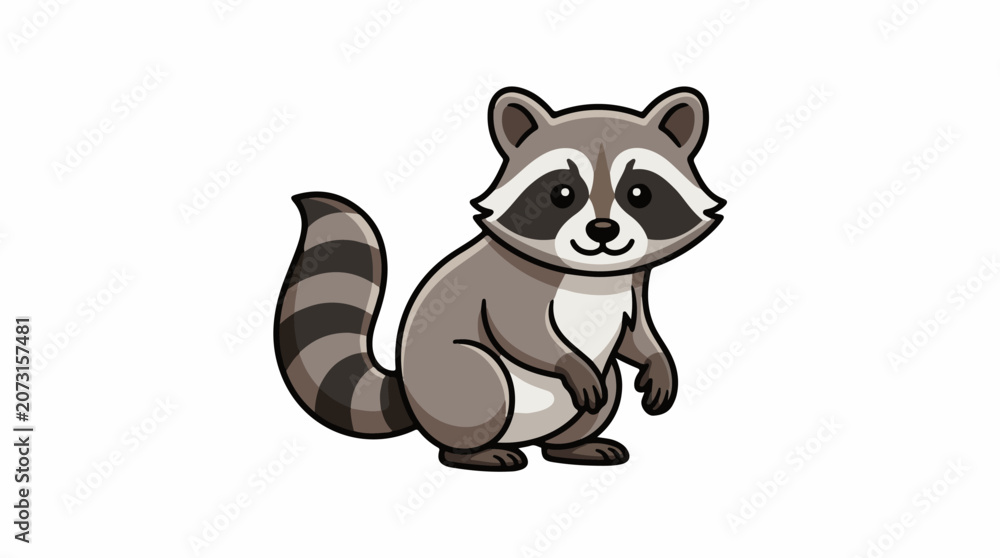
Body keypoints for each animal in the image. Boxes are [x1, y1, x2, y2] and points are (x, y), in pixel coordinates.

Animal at [274, 87, 724, 471]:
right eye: (562, 194)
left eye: (639, 193)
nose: (602, 230)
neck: (591, 273)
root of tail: (406, 392)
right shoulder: (510, 284)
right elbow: (521, 331)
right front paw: (567, 361)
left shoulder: (631, 284)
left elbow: (636, 333)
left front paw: (658, 361)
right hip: (452, 381)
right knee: (483, 380)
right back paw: (472, 453)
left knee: (605, 383)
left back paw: (571, 446)